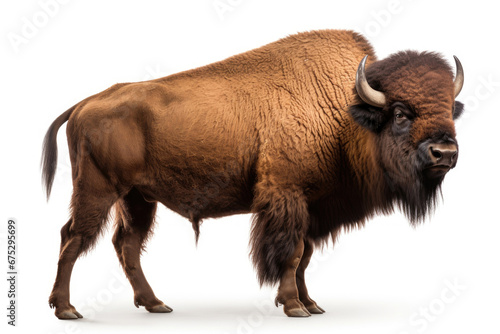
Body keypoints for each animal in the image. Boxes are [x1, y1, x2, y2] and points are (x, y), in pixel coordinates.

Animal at [42, 29, 464, 318]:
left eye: (450, 110)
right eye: (400, 113)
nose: (445, 153)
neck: (344, 112)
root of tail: (85, 103)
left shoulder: (310, 207)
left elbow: (305, 254)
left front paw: (311, 303)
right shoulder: (286, 195)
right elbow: (292, 254)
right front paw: (294, 307)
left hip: (137, 198)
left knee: (126, 244)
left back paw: (155, 304)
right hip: (97, 191)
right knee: (72, 237)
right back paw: (66, 309)